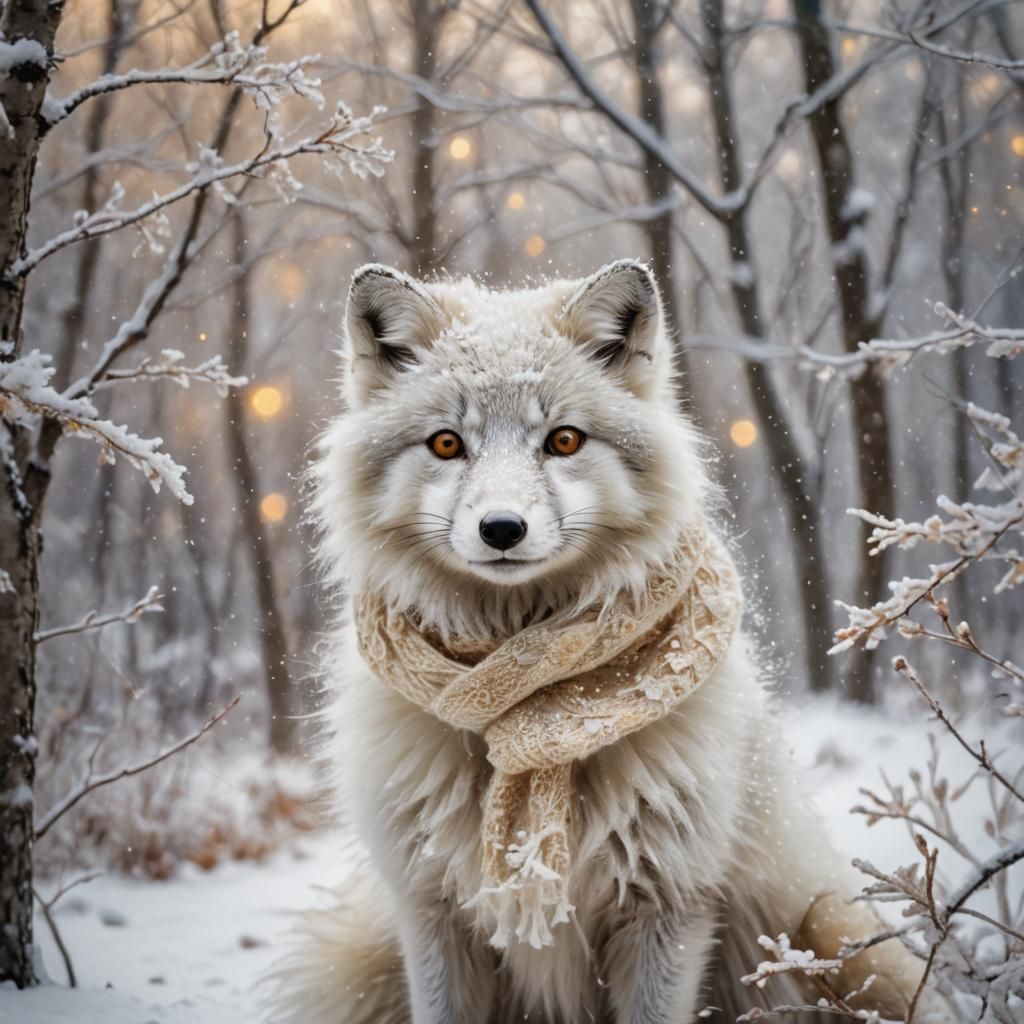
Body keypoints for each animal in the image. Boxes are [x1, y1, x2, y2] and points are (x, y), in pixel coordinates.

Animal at [269, 260, 950, 1024]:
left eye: (563, 440)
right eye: (447, 443)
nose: (501, 529)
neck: (521, 703)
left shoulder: (669, 905)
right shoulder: (431, 909)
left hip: (832, 935)